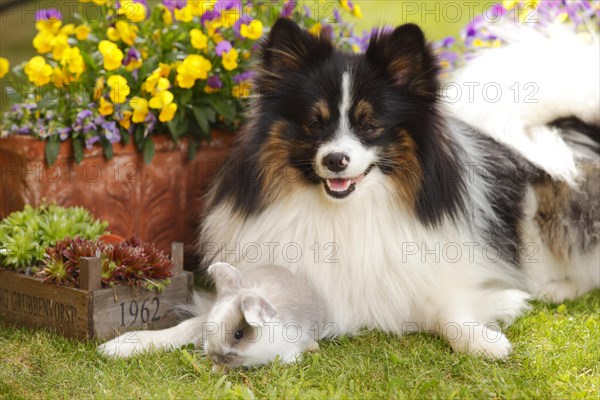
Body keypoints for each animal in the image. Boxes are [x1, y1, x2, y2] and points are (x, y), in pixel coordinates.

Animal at [99, 18, 600, 360]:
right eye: (314, 123)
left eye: (369, 124)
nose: (335, 160)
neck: (348, 209)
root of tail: (575, 127)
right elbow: (201, 321)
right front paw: (136, 341)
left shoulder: (448, 275)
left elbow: (449, 311)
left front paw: (483, 340)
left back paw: (556, 288)